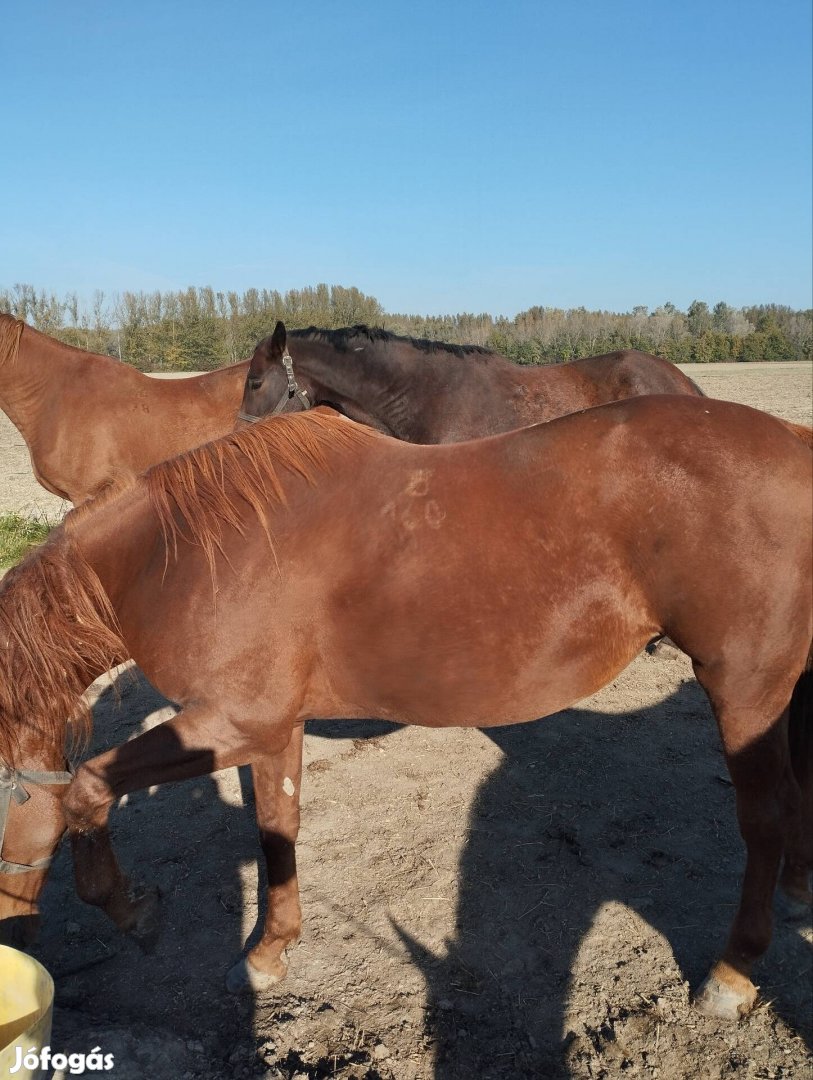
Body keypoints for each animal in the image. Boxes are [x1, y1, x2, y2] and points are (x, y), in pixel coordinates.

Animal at [0, 399, 807, 1019]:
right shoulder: (271, 729)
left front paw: (133, 908)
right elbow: (276, 832)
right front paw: (268, 953)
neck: (176, 556)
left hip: (745, 686)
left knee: (765, 819)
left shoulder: (230, 722)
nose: (15, 940)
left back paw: (731, 974)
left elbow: (86, 791)